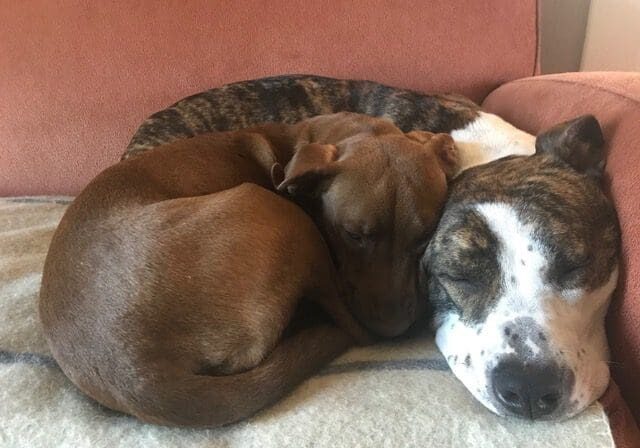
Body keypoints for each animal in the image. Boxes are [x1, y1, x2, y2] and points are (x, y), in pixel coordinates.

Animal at [40, 112, 458, 428]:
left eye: (424, 238)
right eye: (353, 234)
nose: (394, 330)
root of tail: (140, 375)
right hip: (276, 210)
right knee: (348, 324)